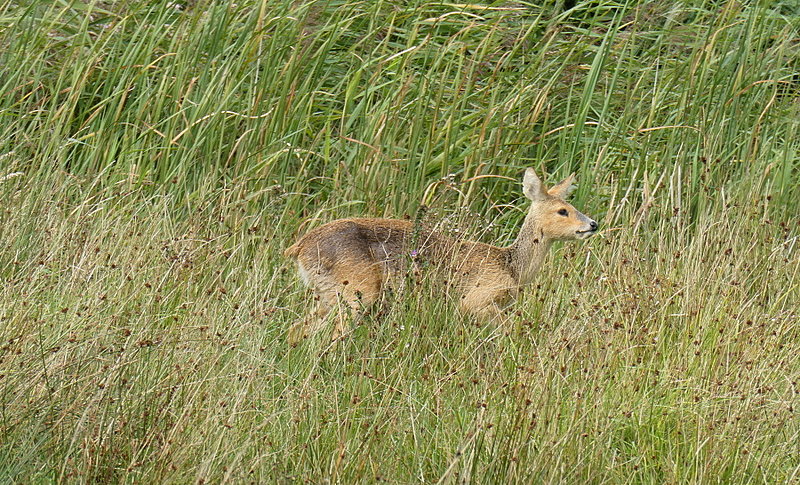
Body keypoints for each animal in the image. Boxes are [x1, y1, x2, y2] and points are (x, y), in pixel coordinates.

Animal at [284, 168, 596, 342]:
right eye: (563, 211)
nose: (592, 224)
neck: (511, 265)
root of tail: (298, 247)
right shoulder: (474, 301)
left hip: (326, 294)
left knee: (299, 329)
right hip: (357, 293)